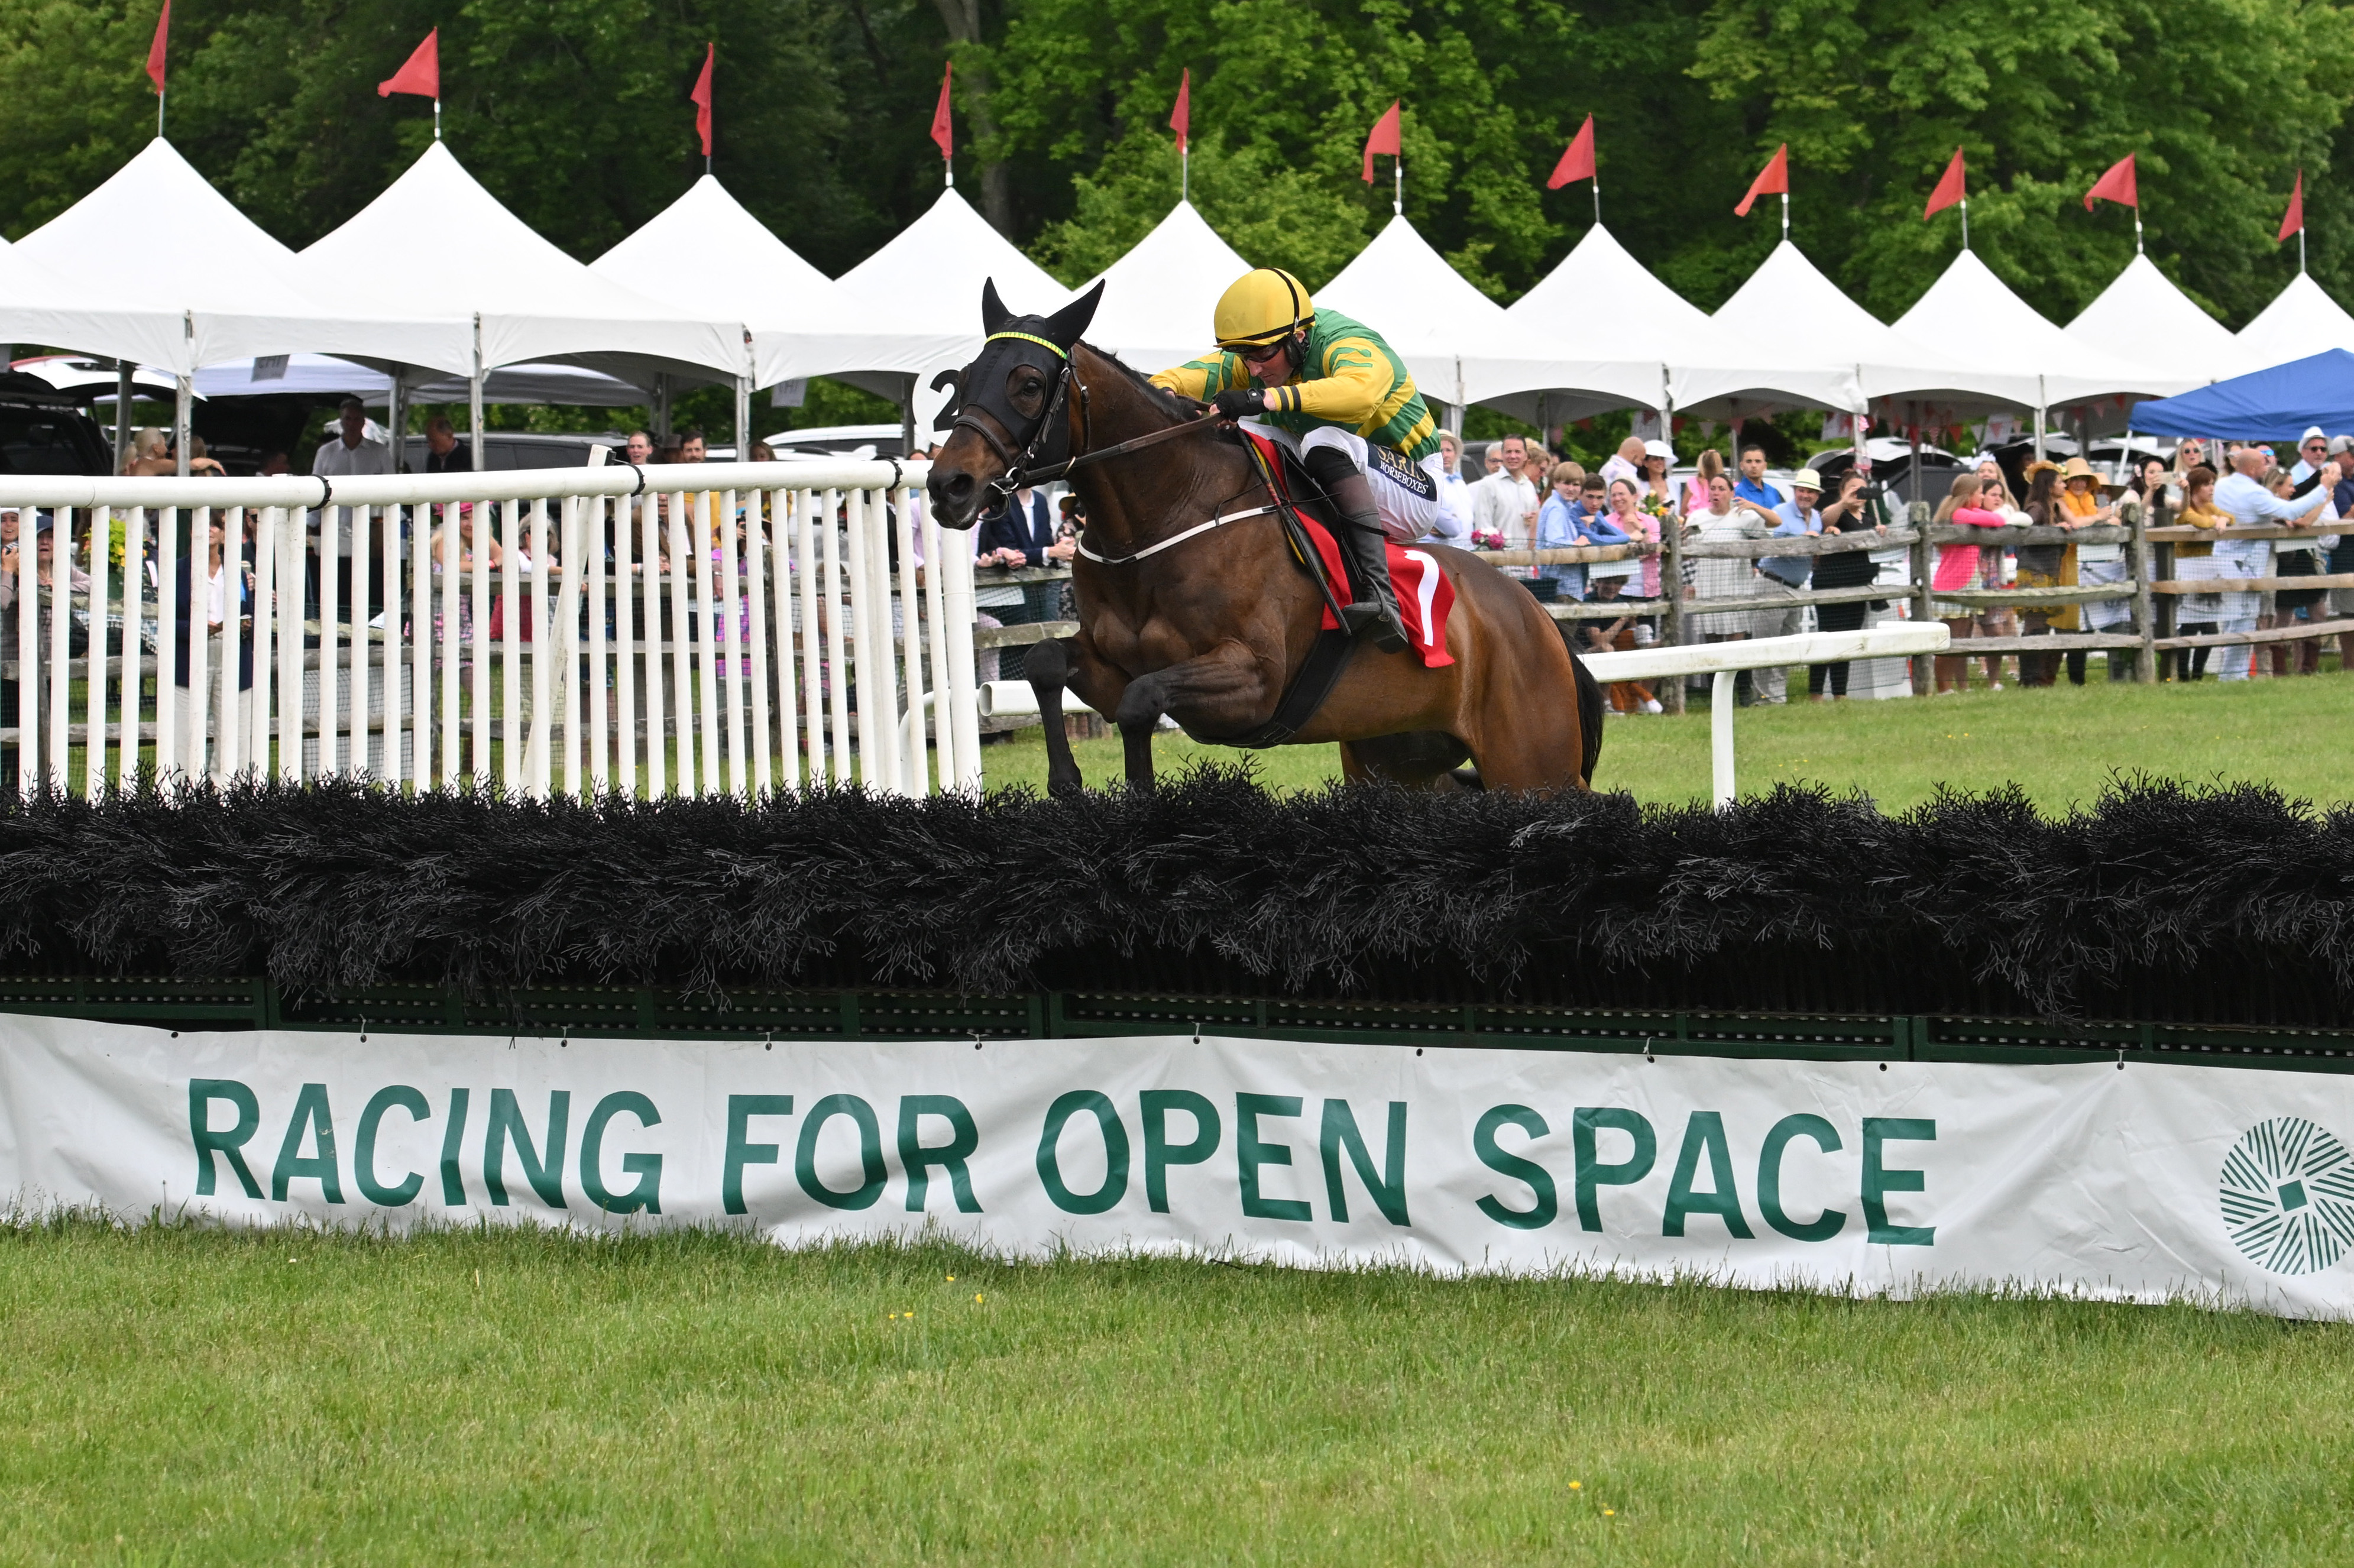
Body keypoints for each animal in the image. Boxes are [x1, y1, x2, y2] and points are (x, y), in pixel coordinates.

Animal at [918, 281, 1601, 795]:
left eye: (1029, 383)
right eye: (964, 379)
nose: (949, 485)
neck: (1161, 517)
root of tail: (1539, 621)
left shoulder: (1256, 681)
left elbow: (1142, 701)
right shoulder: (1110, 665)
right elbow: (1044, 660)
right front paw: (1066, 782)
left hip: (1531, 767)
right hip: (1398, 763)